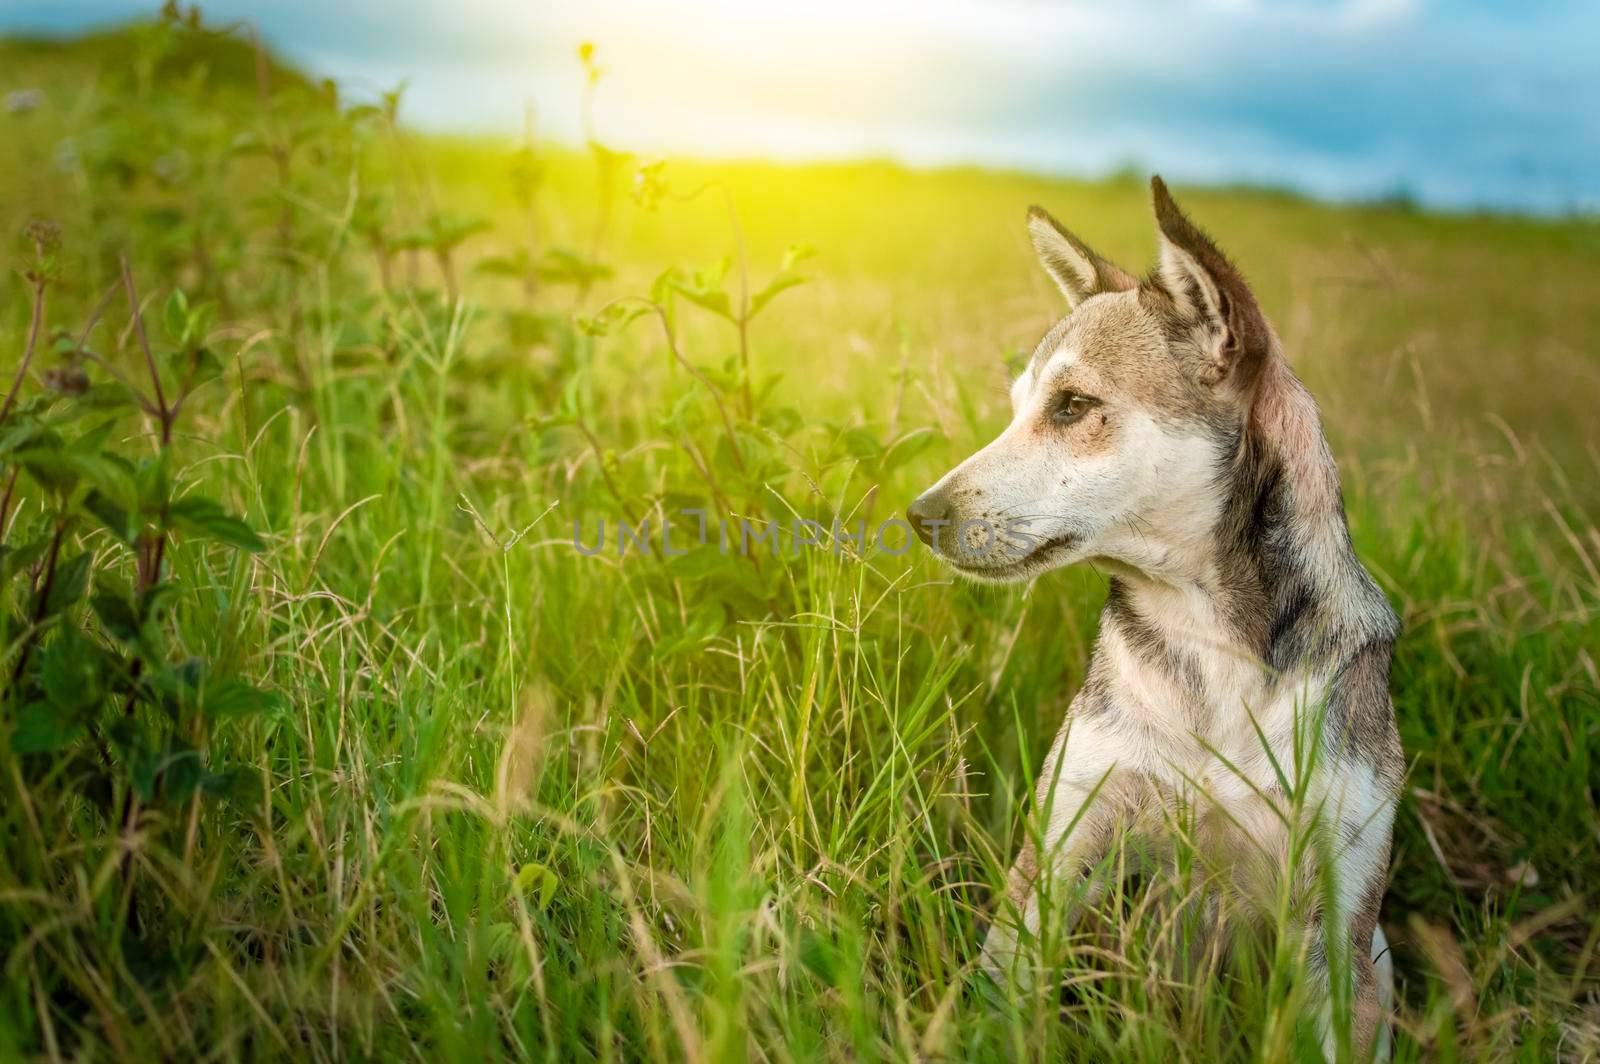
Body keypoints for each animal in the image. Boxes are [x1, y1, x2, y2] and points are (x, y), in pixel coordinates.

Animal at [915, 178, 1401, 1049]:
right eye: (1018, 407)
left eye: (1073, 406)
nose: (919, 514)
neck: (1212, 645)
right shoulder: (1059, 851)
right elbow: (1002, 992)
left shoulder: (1339, 917)